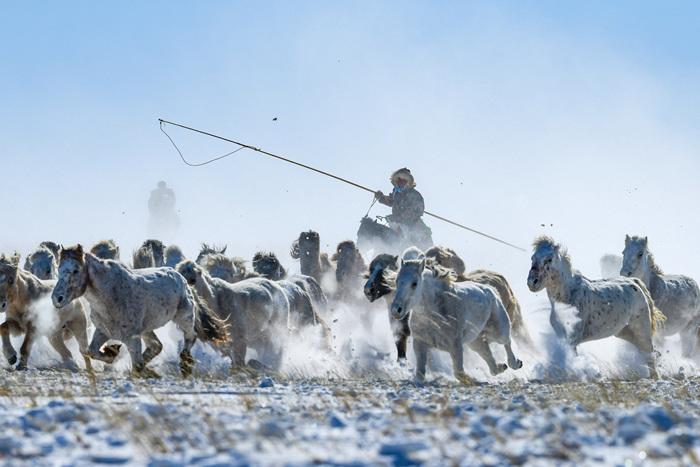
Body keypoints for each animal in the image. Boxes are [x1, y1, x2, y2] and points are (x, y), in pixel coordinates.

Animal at [52, 245, 228, 377]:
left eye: (75, 270)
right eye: (59, 269)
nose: (57, 298)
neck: (110, 294)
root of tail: (182, 278)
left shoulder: (132, 337)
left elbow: (136, 365)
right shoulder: (103, 331)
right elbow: (92, 352)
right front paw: (111, 352)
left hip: (184, 317)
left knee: (191, 336)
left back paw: (185, 364)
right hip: (146, 329)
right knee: (156, 346)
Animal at [391, 247, 522, 383]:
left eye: (414, 283)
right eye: (397, 281)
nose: (396, 310)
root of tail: (490, 289)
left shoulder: (455, 346)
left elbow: (459, 372)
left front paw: (472, 380)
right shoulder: (420, 343)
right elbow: (420, 374)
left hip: (499, 330)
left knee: (507, 342)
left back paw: (515, 363)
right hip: (475, 341)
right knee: (489, 358)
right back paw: (501, 367)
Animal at [528, 236, 664, 378]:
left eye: (549, 259)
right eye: (533, 258)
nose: (532, 282)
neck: (568, 296)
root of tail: (636, 282)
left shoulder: (572, 338)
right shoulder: (561, 335)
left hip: (642, 330)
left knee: (649, 354)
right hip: (625, 332)